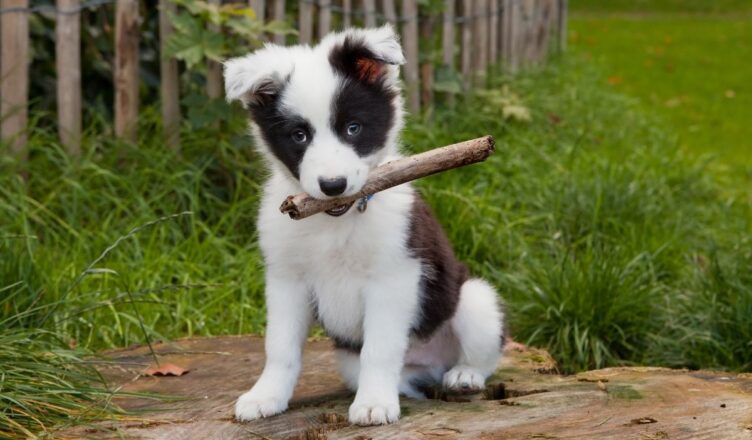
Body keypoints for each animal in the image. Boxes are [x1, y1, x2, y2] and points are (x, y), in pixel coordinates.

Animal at [223, 24, 506, 426]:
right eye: (299, 135)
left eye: (353, 128)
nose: (333, 185)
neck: (335, 223)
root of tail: (431, 363)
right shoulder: (286, 279)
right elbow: (279, 347)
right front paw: (266, 396)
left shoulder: (393, 276)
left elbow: (380, 348)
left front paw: (373, 404)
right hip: (349, 359)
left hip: (474, 299)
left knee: (485, 354)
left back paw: (464, 375)